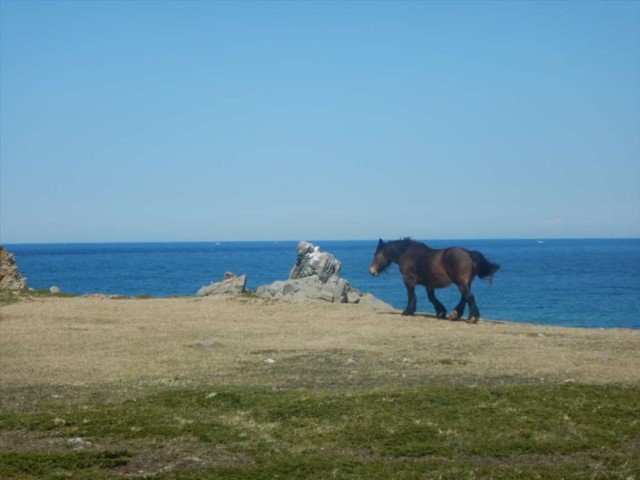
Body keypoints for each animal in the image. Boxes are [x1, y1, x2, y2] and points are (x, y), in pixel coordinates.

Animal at [369, 238, 500, 323]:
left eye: (376, 253)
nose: (371, 271)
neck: (407, 253)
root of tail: (469, 253)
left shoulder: (408, 280)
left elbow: (411, 295)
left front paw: (408, 311)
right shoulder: (429, 284)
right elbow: (432, 298)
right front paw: (441, 312)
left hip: (461, 282)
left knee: (469, 297)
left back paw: (472, 318)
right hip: (465, 282)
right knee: (465, 297)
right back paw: (455, 314)